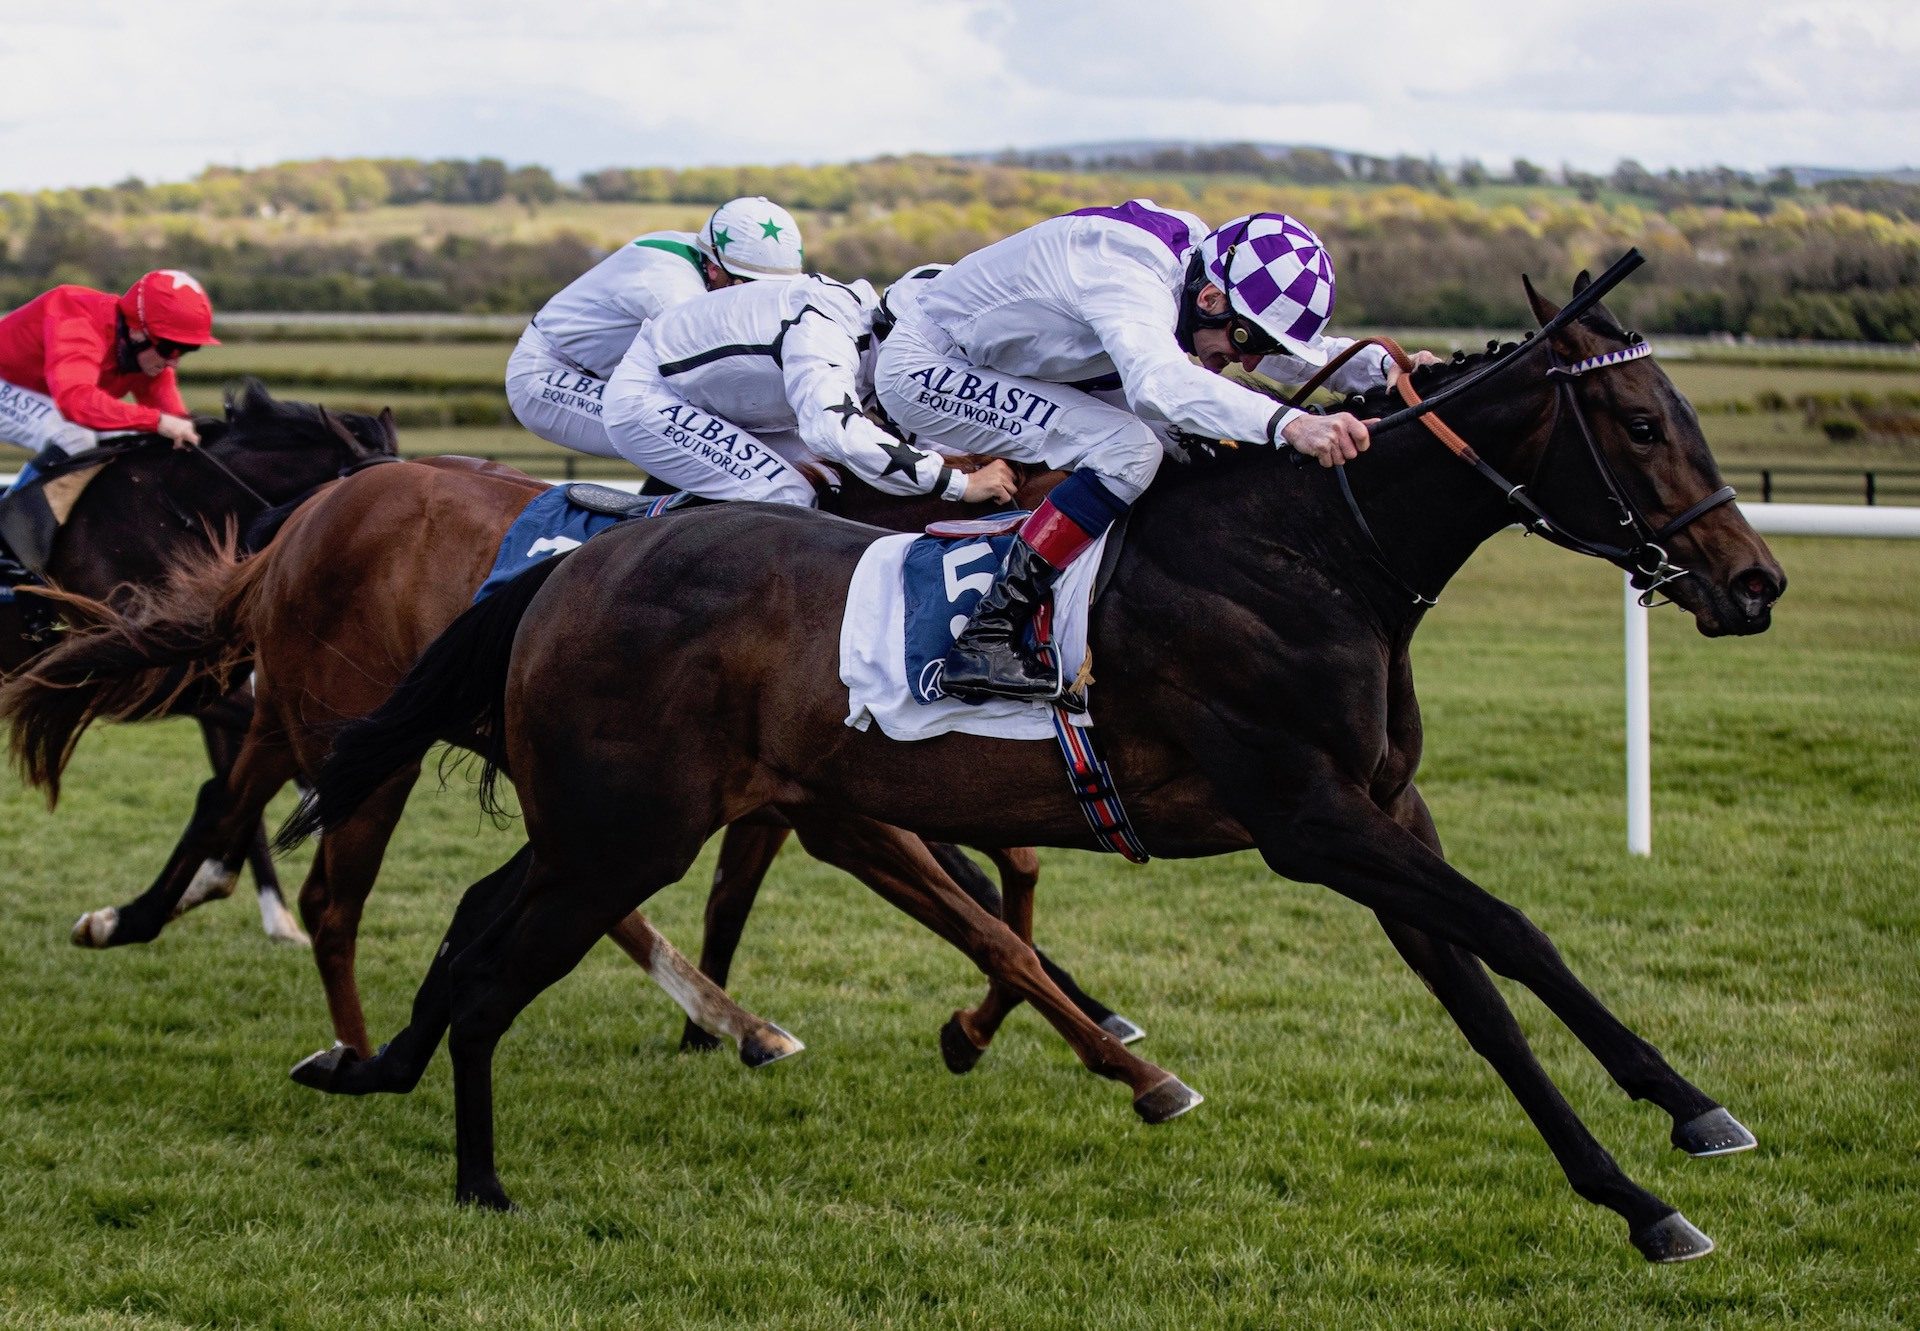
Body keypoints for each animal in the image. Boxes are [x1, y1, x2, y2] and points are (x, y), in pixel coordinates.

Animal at [3, 451, 1136, 1067]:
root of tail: (310, 518)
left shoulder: (793, 789)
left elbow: (993, 877)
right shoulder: (813, 786)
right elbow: (979, 884)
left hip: (305, 716)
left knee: (229, 802)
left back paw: (144, 913)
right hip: (351, 727)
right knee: (322, 884)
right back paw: (347, 1038)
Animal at [288, 257, 1781, 1259]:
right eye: (1642, 425)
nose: (1754, 580)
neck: (1308, 553)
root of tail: (575, 568)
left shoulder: (1380, 816)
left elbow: (1485, 992)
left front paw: (1649, 1183)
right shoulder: (1307, 820)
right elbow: (1517, 930)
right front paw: (1690, 1114)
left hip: (606, 822)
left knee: (482, 926)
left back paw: (392, 1072)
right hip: (624, 827)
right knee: (493, 973)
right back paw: (479, 1178)